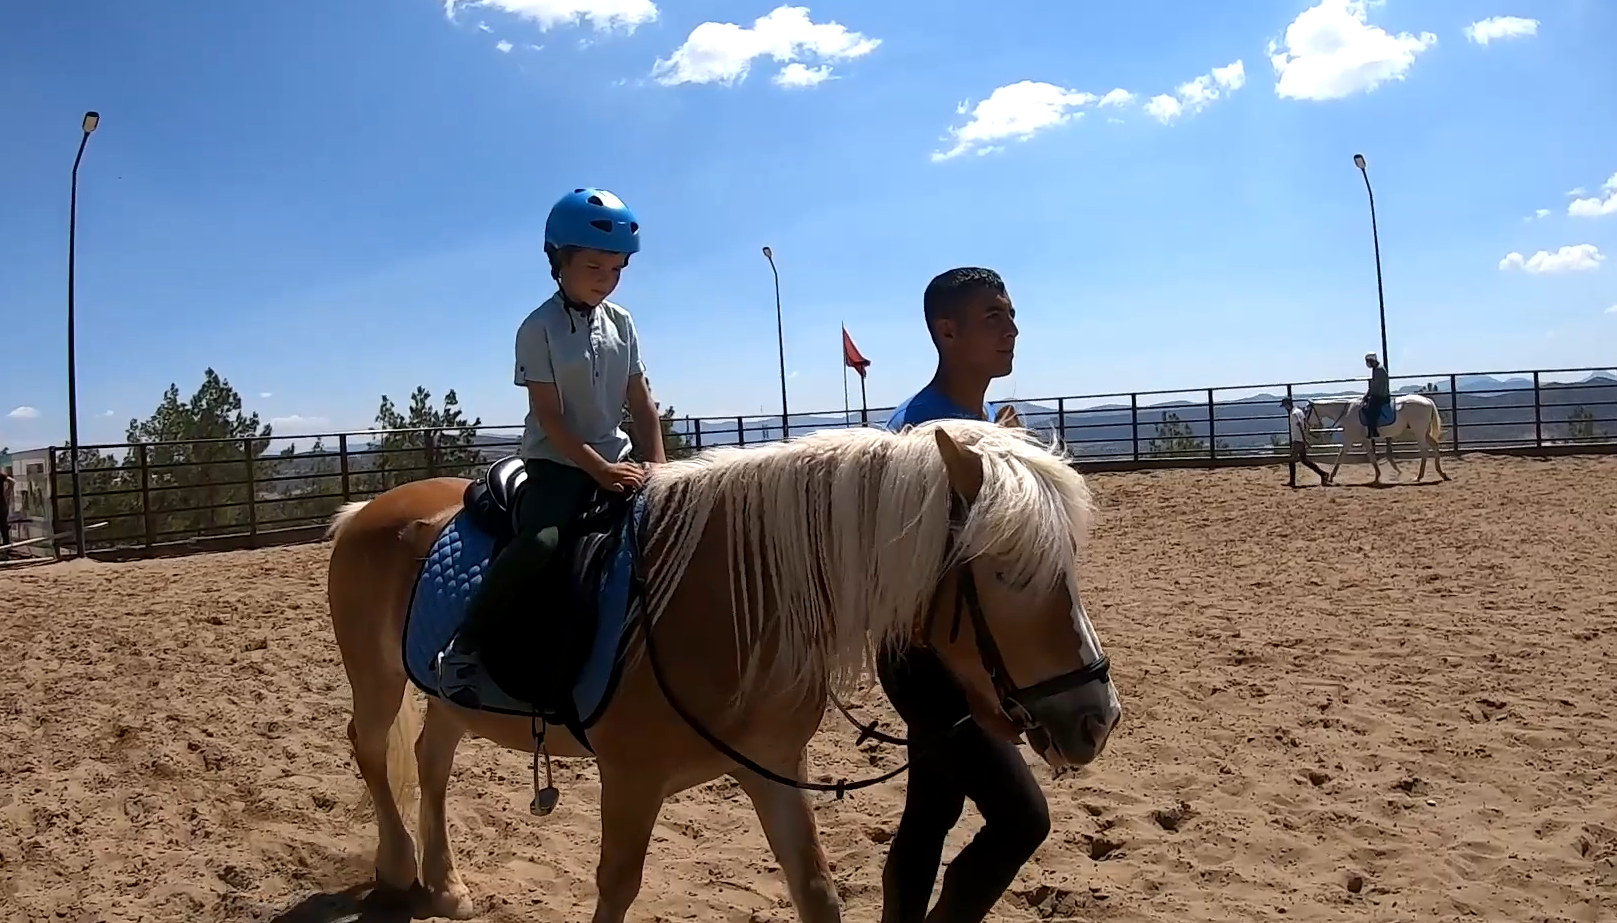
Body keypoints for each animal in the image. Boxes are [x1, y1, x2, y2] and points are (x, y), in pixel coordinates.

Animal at [321, 420, 1118, 923]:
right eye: (1006, 570)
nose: (1096, 718)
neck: (732, 600)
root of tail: (368, 510)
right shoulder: (631, 778)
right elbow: (616, 887)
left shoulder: (773, 767)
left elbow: (815, 889)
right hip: (377, 677)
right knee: (371, 746)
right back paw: (399, 869)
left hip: (447, 698)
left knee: (430, 758)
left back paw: (446, 885)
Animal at [1300, 394, 1455, 488]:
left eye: (1307, 411)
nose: (1306, 426)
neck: (1347, 412)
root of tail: (1426, 400)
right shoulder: (1365, 440)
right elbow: (1372, 457)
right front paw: (1377, 476)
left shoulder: (1349, 440)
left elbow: (1340, 456)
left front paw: (1331, 477)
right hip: (1424, 432)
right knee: (1434, 446)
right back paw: (1442, 474)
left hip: (1419, 432)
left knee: (1424, 451)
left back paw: (1419, 477)